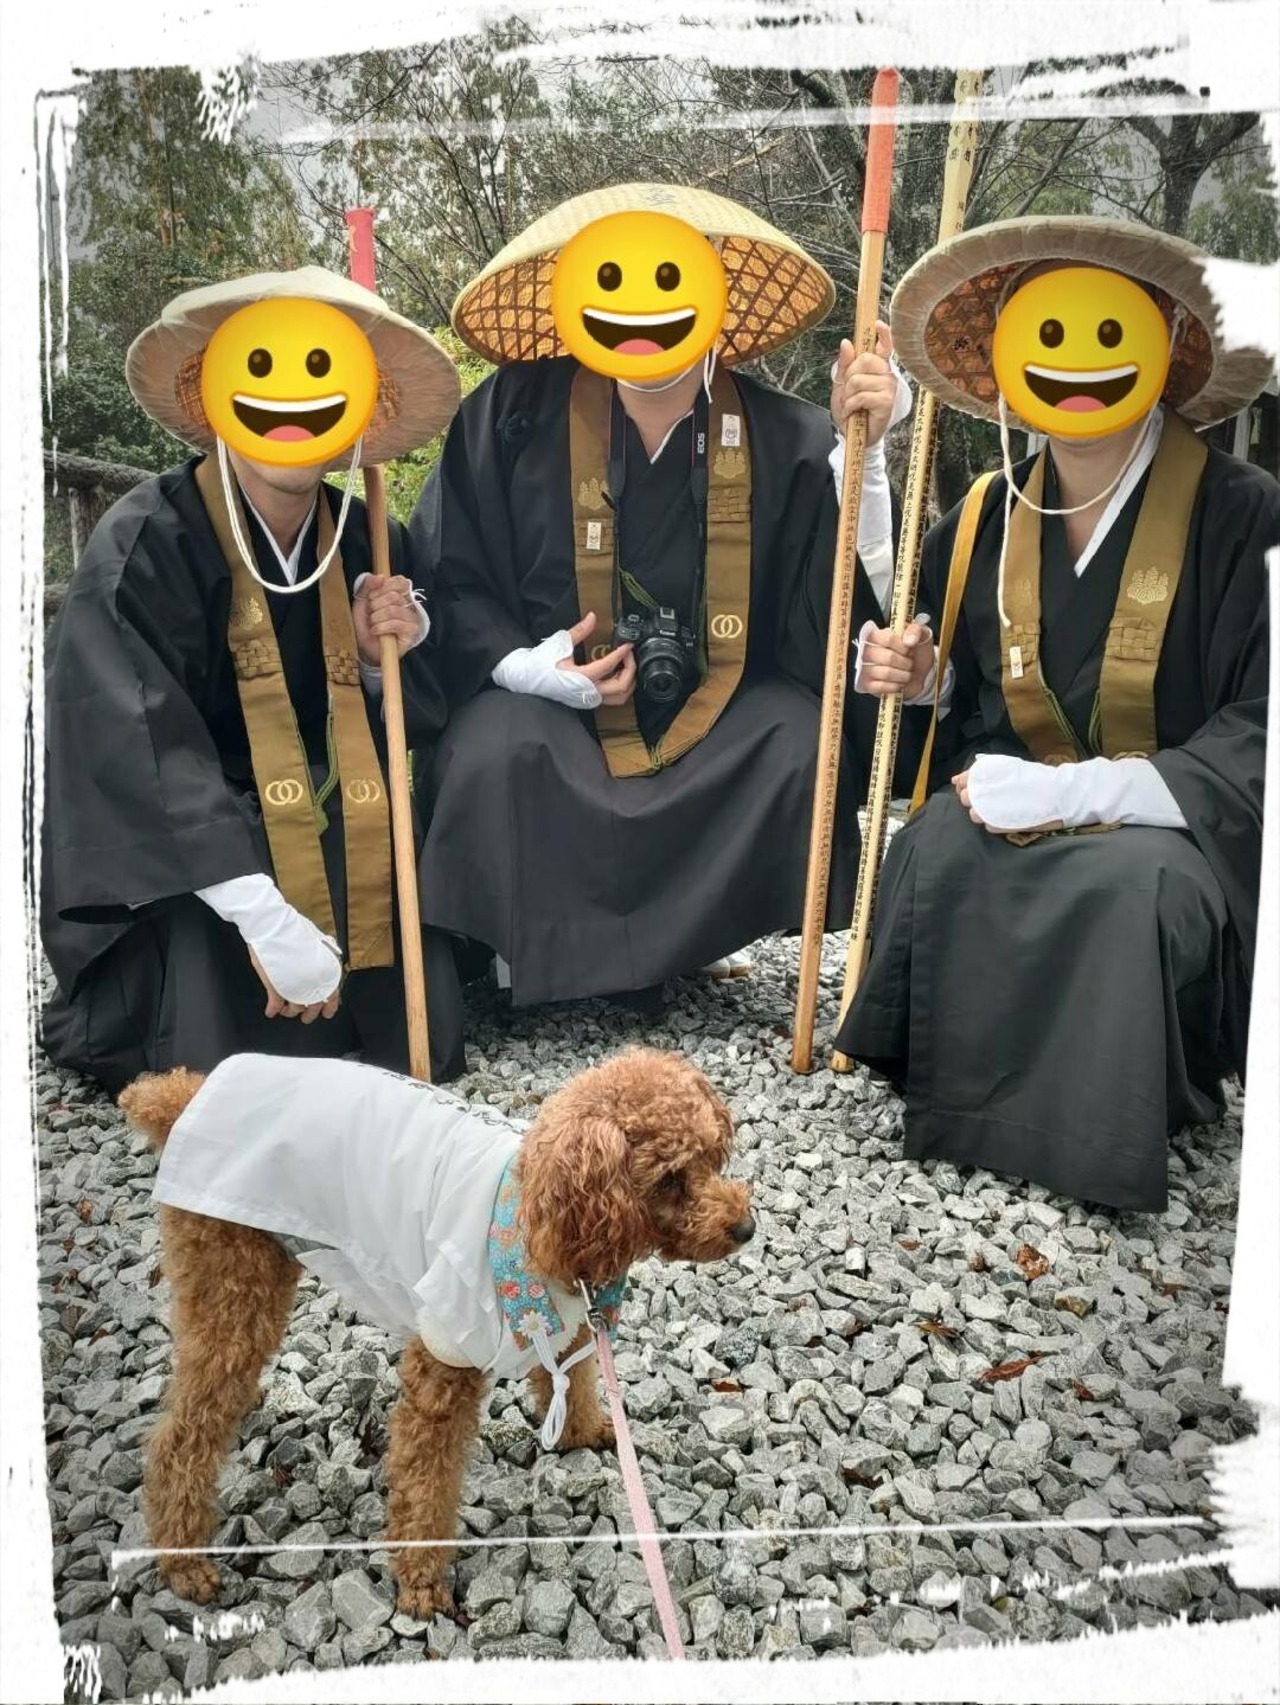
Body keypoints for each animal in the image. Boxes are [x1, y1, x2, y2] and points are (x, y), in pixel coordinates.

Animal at [118, 1047, 752, 1619]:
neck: (541, 1215)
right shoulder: (444, 1360)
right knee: (184, 1431)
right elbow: (426, 1478)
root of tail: (189, 1094)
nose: (745, 1227)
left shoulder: (573, 1323)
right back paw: (184, 1562)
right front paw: (422, 1582)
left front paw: (585, 1432)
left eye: (711, 1158)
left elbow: (570, 1384)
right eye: (670, 1179)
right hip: (232, 1274)